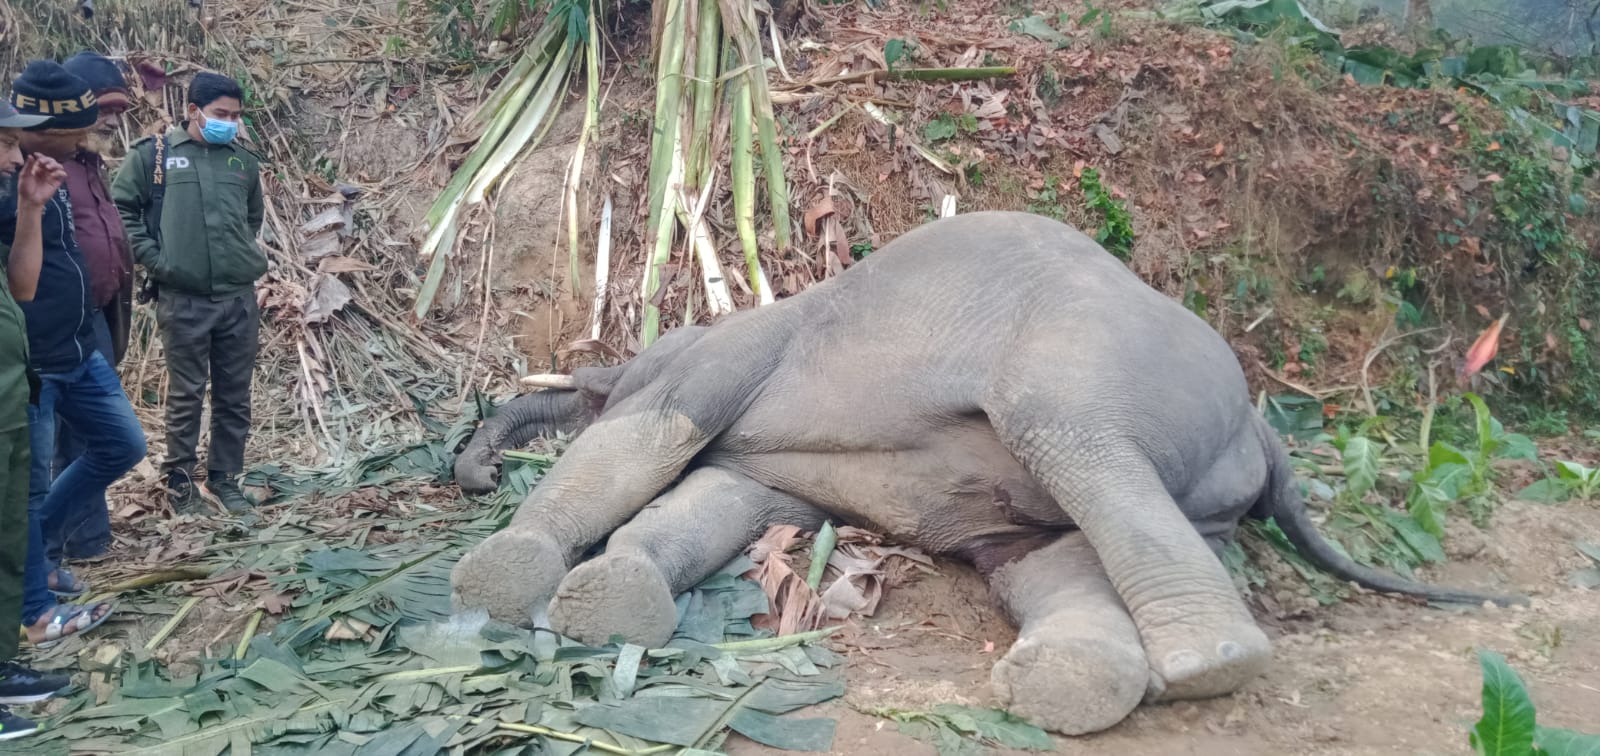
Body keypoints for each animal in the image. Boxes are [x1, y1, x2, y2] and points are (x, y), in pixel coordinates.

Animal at [447, 211, 1520, 736]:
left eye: (592, 385)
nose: (472, 474)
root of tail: (1265, 422)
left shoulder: (728, 353)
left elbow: (649, 436)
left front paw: (502, 581)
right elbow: (717, 498)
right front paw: (611, 605)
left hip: (1093, 371)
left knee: (1075, 446)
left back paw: (1209, 668)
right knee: (1050, 558)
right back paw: (1076, 685)